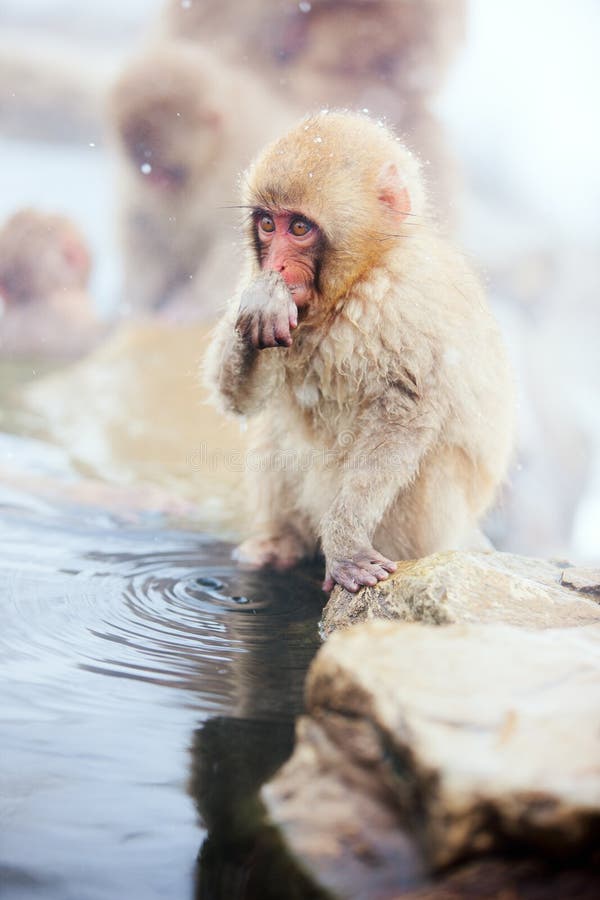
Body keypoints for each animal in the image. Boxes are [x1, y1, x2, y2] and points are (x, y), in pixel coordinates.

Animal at [204, 110, 512, 592]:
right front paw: (261, 305)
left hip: (431, 526)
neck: (354, 283)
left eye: (299, 228)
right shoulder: (250, 278)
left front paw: (346, 543)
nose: (276, 266)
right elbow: (239, 400)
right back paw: (281, 543)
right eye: (268, 224)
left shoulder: (405, 303)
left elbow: (403, 415)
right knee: (275, 429)